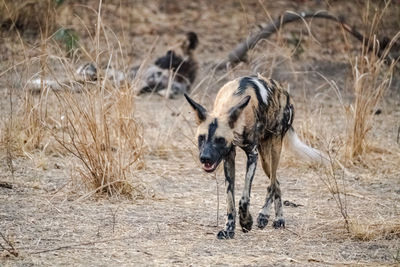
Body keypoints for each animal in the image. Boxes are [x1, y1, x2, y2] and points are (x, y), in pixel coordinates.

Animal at [183, 74, 326, 240]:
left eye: (219, 140)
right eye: (201, 138)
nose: (205, 158)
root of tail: (284, 92)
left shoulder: (252, 155)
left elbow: (244, 199)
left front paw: (246, 222)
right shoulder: (229, 157)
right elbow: (230, 200)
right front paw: (229, 229)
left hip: (274, 149)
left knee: (272, 184)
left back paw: (265, 216)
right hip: (264, 160)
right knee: (276, 183)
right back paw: (278, 218)